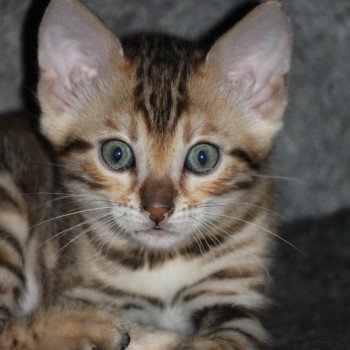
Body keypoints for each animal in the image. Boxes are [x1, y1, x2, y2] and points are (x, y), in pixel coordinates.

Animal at [0, 0, 292, 350]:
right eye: (116, 154)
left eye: (203, 158)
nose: (157, 210)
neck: (161, 261)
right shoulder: (79, 288)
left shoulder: (237, 296)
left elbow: (222, 341)